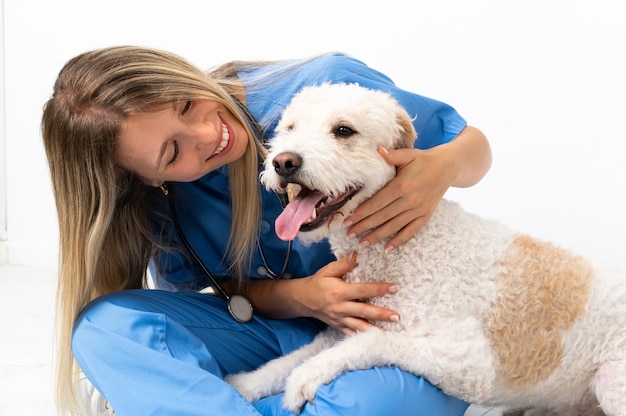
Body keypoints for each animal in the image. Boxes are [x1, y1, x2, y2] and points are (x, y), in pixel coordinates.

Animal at [227, 83, 624, 416]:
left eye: (343, 131)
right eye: (290, 128)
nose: (283, 162)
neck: (405, 248)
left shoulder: (466, 361)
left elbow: (372, 342)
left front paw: (305, 377)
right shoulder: (344, 326)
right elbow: (289, 359)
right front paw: (244, 383)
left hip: (611, 382)